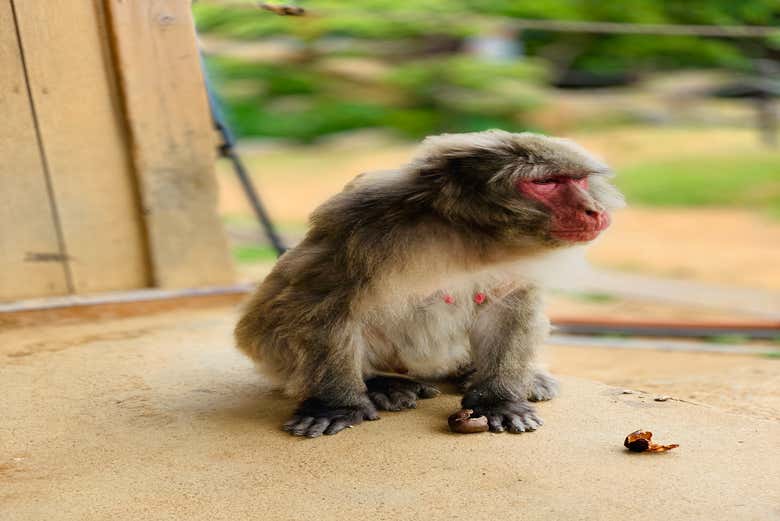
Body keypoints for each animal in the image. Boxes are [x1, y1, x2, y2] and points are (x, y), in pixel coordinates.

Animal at [235, 129, 624, 437]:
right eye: (546, 183)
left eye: (579, 180)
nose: (593, 210)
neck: (470, 236)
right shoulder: (360, 223)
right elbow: (313, 302)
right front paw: (336, 406)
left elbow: (510, 305)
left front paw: (498, 399)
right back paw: (380, 383)